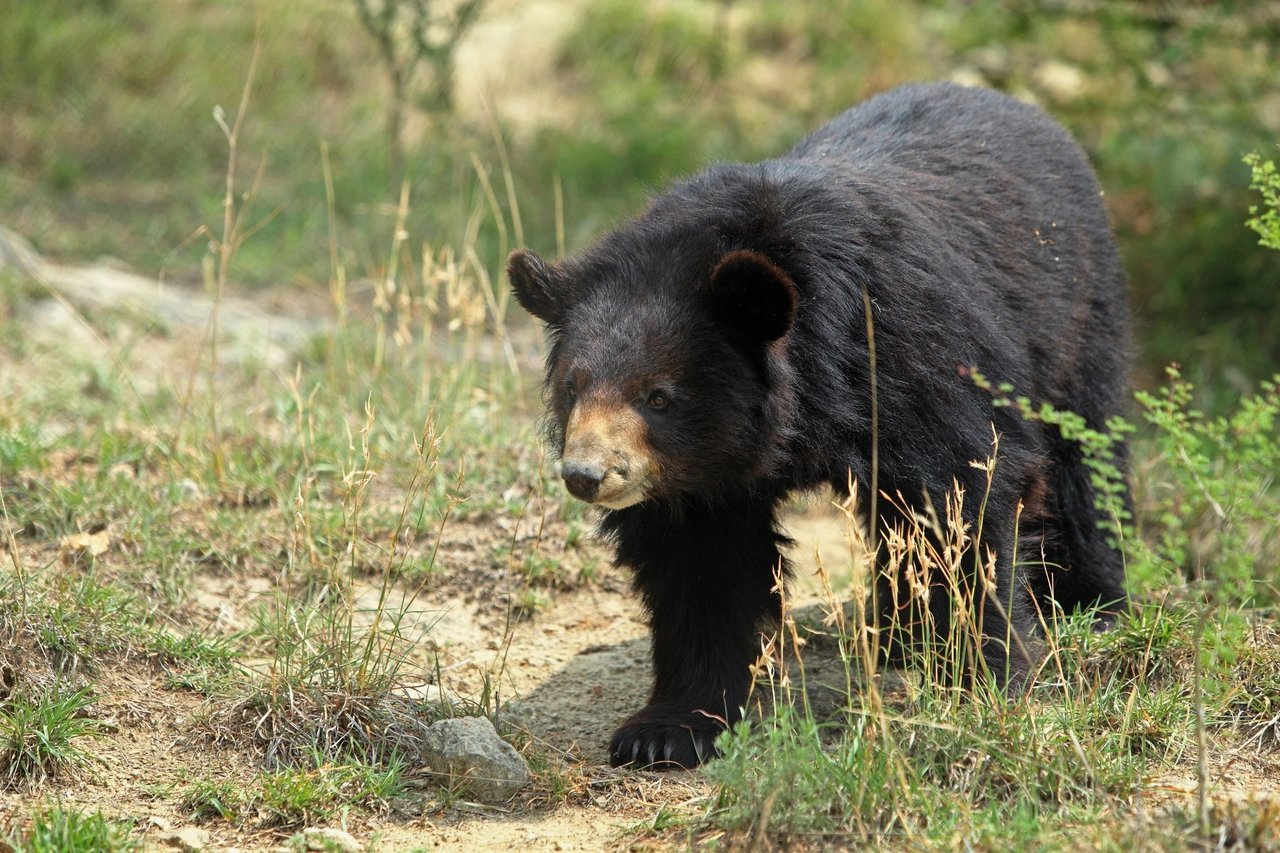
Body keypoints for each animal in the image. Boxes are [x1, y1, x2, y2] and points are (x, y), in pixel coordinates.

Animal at [507, 82, 1131, 770]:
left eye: (660, 396)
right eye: (572, 387)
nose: (586, 475)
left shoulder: (911, 354)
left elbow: (963, 503)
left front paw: (981, 679)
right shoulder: (697, 478)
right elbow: (699, 570)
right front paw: (664, 732)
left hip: (1078, 318)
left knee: (1085, 460)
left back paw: (1088, 604)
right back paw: (898, 638)